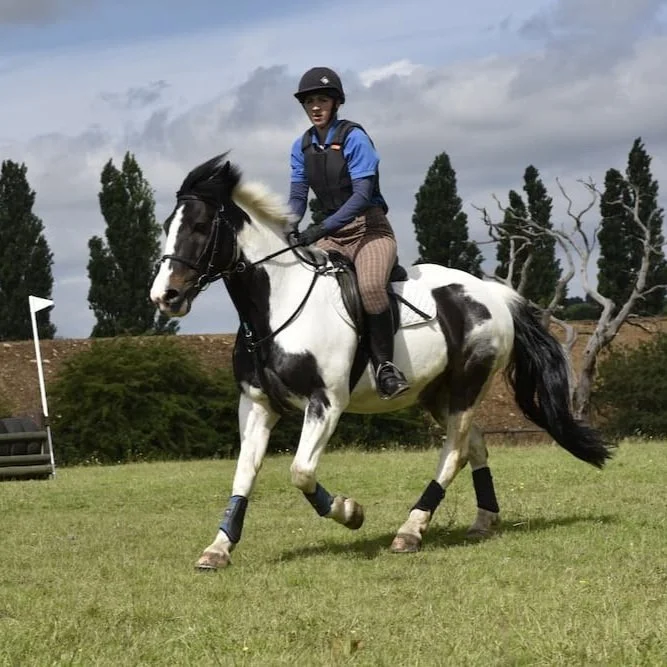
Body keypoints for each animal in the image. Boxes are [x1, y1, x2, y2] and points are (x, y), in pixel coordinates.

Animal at [150, 153, 614, 570]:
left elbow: (300, 471)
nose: (164, 297)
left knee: (453, 452)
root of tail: (493, 293)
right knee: (473, 446)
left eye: (199, 227)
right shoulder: (256, 404)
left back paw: (410, 531)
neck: (275, 305)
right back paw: (483, 520)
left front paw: (350, 512)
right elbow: (244, 473)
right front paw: (218, 548)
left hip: (468, 384)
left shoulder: (325, 403)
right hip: (436, 393)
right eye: (167, 227)